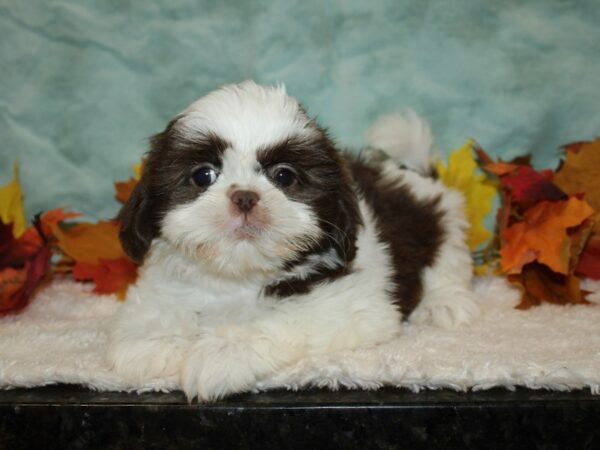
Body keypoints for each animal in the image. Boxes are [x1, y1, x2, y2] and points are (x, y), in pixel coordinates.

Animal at [104, 81, 478, 400]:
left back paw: (444, 303)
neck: (239, 277)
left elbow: (276, 320)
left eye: (284, 176)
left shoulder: (349, 304)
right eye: (203, 175)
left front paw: (222, 352)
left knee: (447, 265)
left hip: (444, 224)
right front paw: (153, 341)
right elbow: (157, 305)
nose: (244, 197)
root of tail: (413, 176)